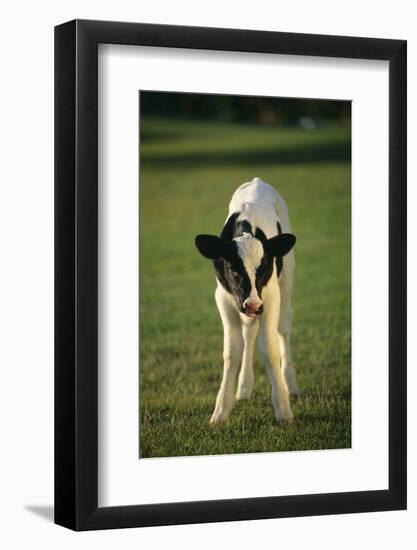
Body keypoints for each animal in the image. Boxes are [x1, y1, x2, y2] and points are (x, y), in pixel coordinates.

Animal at [195, 178, 300, 426]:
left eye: (264, 268)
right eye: (233, 269)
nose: (252, 305)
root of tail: (257, 181)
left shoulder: (270, 297)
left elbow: (269, 348)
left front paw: (283, 410)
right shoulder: (224, 298)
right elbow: (232, 350)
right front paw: (221, 411)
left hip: (286, 280)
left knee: (283, 330)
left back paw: (290, 384)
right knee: (249, 333)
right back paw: (243, 388)